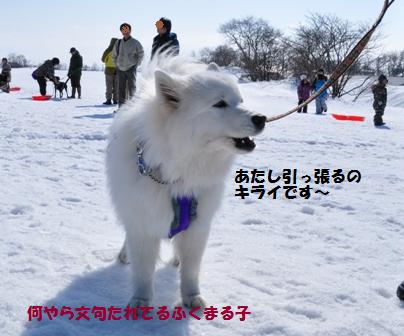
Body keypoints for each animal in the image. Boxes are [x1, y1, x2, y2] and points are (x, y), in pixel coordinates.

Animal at [105, 56, 266, 308]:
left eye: (240, 100)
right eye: (219, 104)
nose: (261, 118)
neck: (176, 173)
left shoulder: (197, 226)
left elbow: (191, 269)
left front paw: (192, 298)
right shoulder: (142, 222)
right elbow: (143, 271)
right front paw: (141, 301)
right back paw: (124, 255)